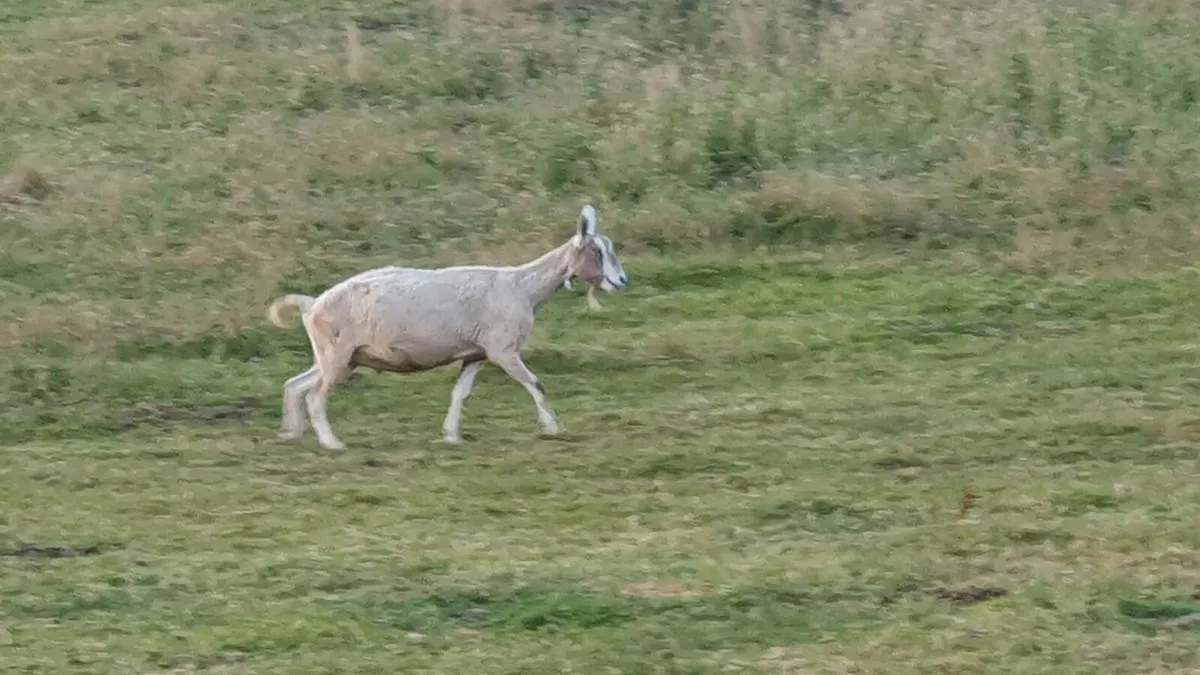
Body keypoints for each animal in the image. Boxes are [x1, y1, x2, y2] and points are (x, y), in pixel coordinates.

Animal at [266, 205, 629, 451]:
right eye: (597, 251)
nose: (622, 281)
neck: (522, 287)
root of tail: (311, 304)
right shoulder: (503, 351)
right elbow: (536, 384)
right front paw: (553, 427)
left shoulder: (476, 354)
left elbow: (461, 395)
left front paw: (451, 435)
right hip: (337, 355)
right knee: (314, 397)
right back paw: (332, 443)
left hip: (337, 357)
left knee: (294, 385)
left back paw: (290, 432)